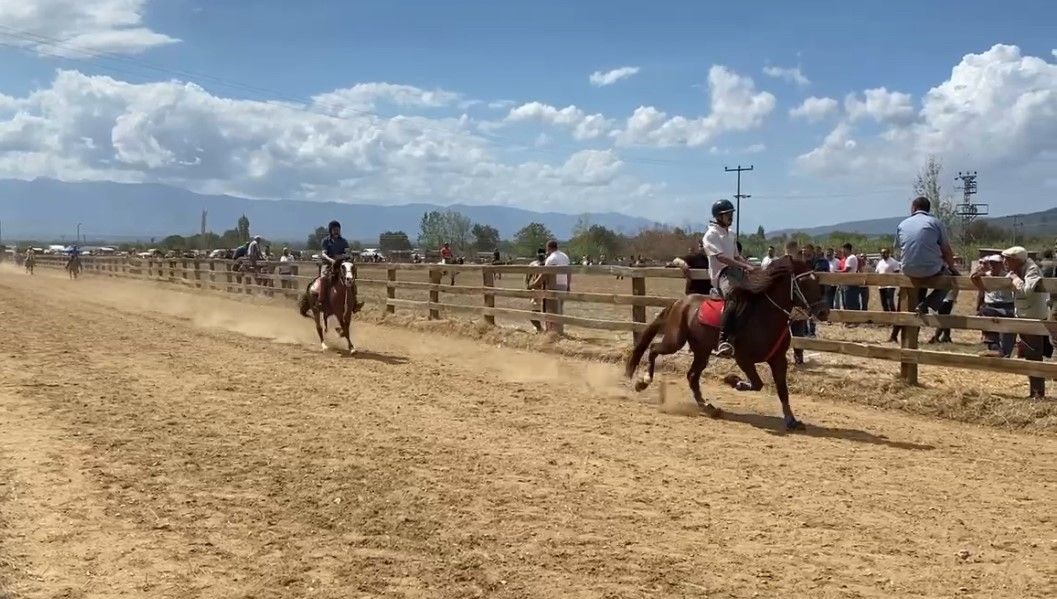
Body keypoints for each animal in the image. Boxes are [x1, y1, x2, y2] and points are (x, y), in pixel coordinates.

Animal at [621, 257, 828, 431]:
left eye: (817, 281)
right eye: (804, 282)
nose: (823, 312)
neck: (765, 316)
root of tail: (681, 302)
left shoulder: (778, 360)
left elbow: (782, 391)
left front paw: (791, 420)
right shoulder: (743, 358)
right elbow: (757, 383)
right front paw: (733, 380)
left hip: (701, 351)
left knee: (692, 376)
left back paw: (709, 407)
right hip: (675, 341)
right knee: (654, 349)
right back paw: (643, 381)